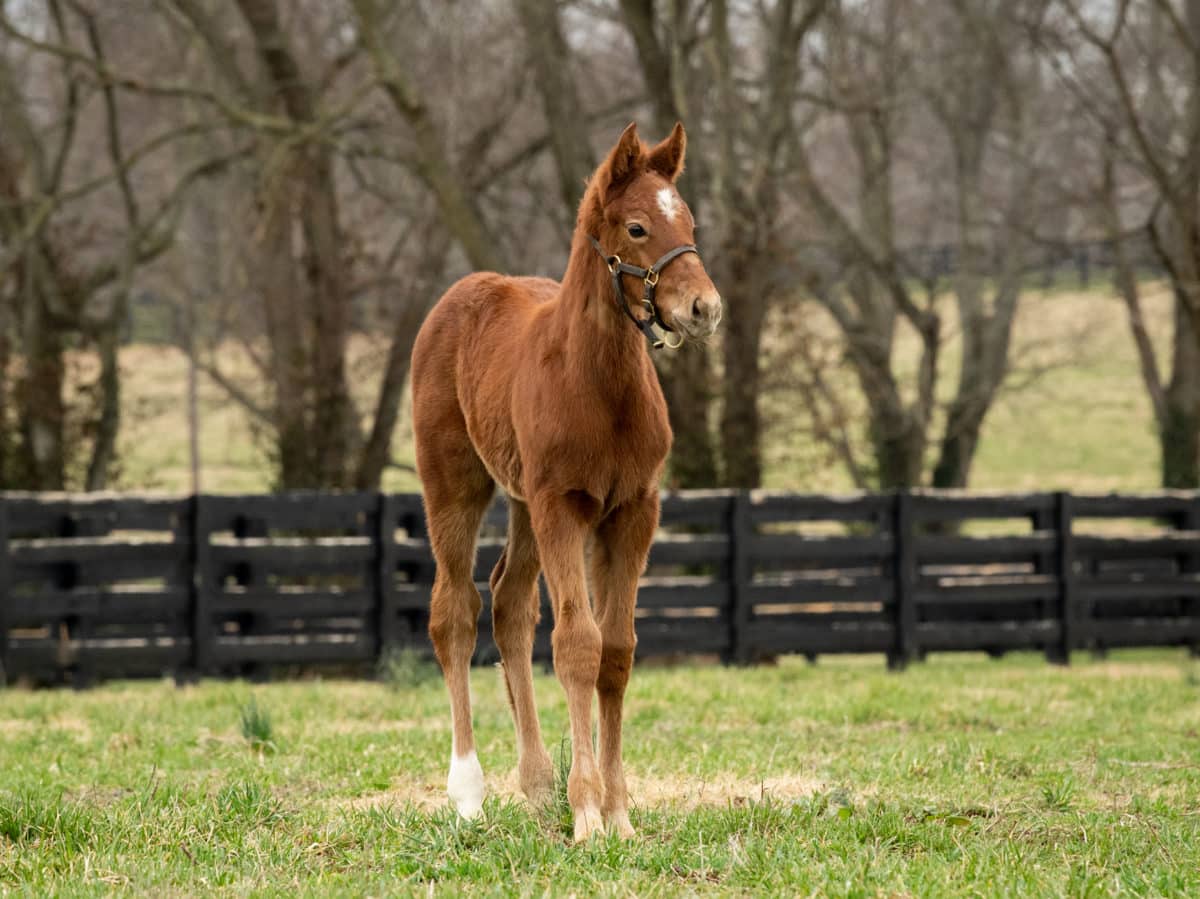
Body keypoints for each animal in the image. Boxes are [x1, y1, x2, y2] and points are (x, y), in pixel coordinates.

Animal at [412, 123, 715, 840]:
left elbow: (617, 651)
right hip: (457, 485)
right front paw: (586, 816)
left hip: (523, 501)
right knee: (455, 610)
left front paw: (618, 812)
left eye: (689, 221)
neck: (600, 386)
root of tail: (461, 294)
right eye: (637, 227)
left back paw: (534, 783)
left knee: (509, 605)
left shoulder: (632, 511)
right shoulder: (564, 507)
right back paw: (468, 791)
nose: (704, 308)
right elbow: (577, 645)